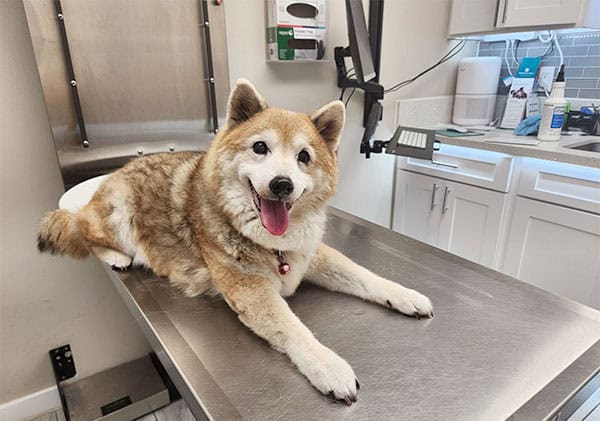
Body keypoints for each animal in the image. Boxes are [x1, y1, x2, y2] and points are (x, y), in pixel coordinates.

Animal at [38, 79, 432, 404]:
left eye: (304, 157)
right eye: (260, 147)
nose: (282, 184)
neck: (274, 244)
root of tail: (116, 172)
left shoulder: (309, 255)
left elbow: (363, 275)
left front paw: (404, 295)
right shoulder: (250, 289)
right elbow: (296, 330)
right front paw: (328, 366)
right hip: (116, 215)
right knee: (80, 230)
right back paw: (115, 256)